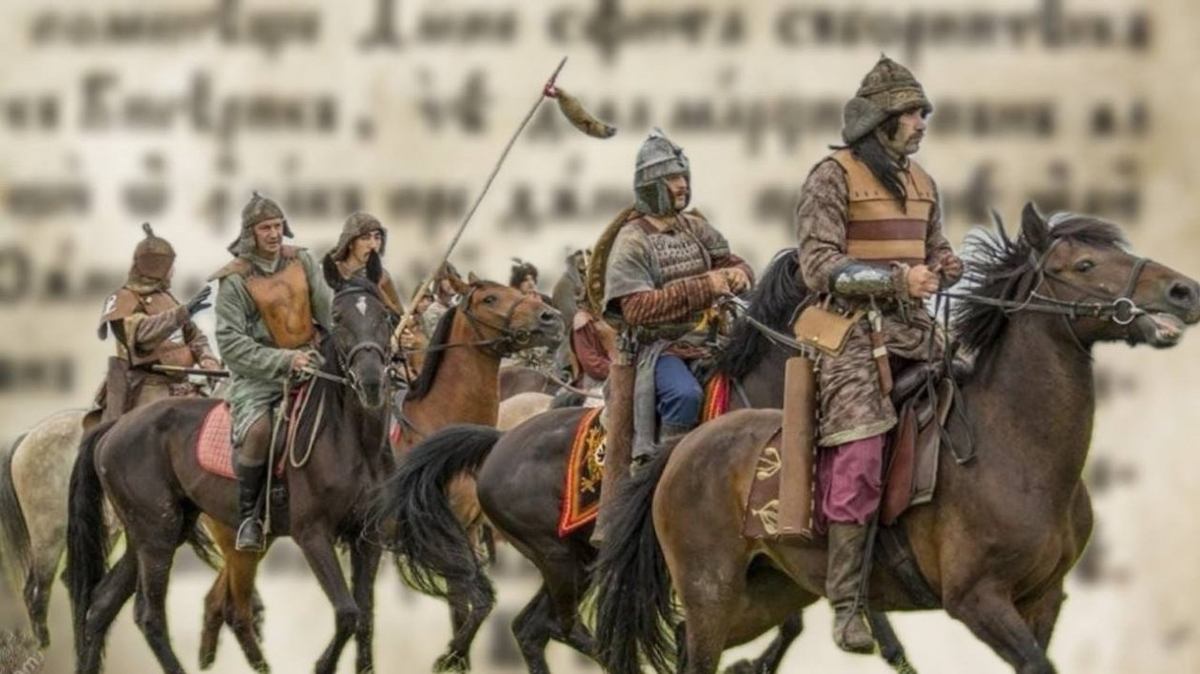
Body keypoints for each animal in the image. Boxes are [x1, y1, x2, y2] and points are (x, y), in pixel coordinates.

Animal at [65, 255, 404, 674]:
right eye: (338, 316)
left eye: (385, 315)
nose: (371, 382)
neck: (355, 442)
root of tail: (116, 426)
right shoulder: (313, 535)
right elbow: (347, 613)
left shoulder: (368, 538)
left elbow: (366, 617)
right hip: (156, 536)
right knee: (148, 614)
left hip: (154, 533)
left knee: (101, 606)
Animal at [196, 270, 564, 671]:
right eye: (490, 299)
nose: (551, 319)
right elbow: (467, 602)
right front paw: (448, 655)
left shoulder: (461, 531)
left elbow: (467, 605)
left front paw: (456, 656)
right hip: (237, 535)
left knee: (219, 599)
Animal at [590, 206, 1200, 674]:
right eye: (1084, 264)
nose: (1183, 291)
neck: (1017, 449)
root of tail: (682, 450)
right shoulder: (977, 601)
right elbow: (1034, 662)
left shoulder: (1043, 599)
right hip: (710, 590)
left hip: (769, 589)